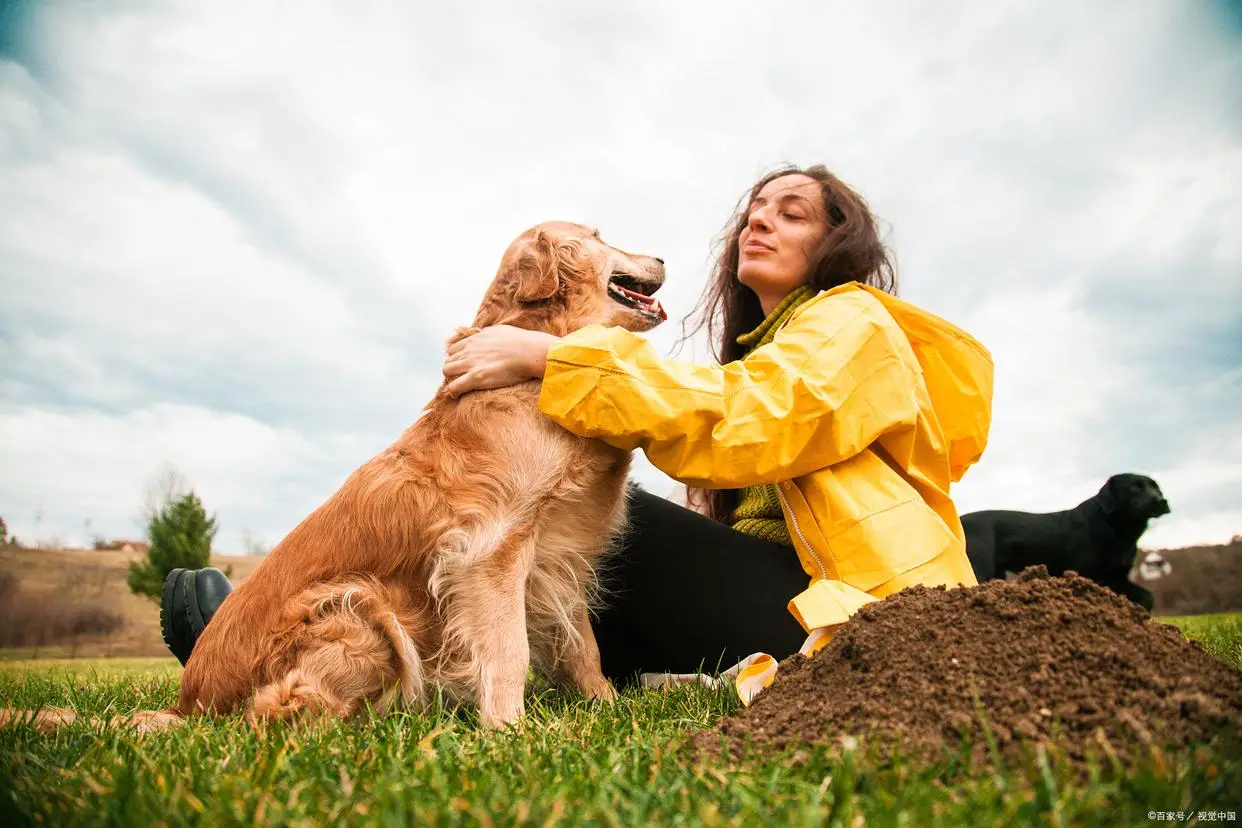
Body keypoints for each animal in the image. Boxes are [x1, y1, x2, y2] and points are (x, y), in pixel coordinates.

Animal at [958, 471, 1172, 608]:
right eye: (1134, 488)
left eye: (1156, 487)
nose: (1161, 501)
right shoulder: (1085, 574)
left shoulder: (1115, 577)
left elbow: (1148, 597)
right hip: (979, 568)